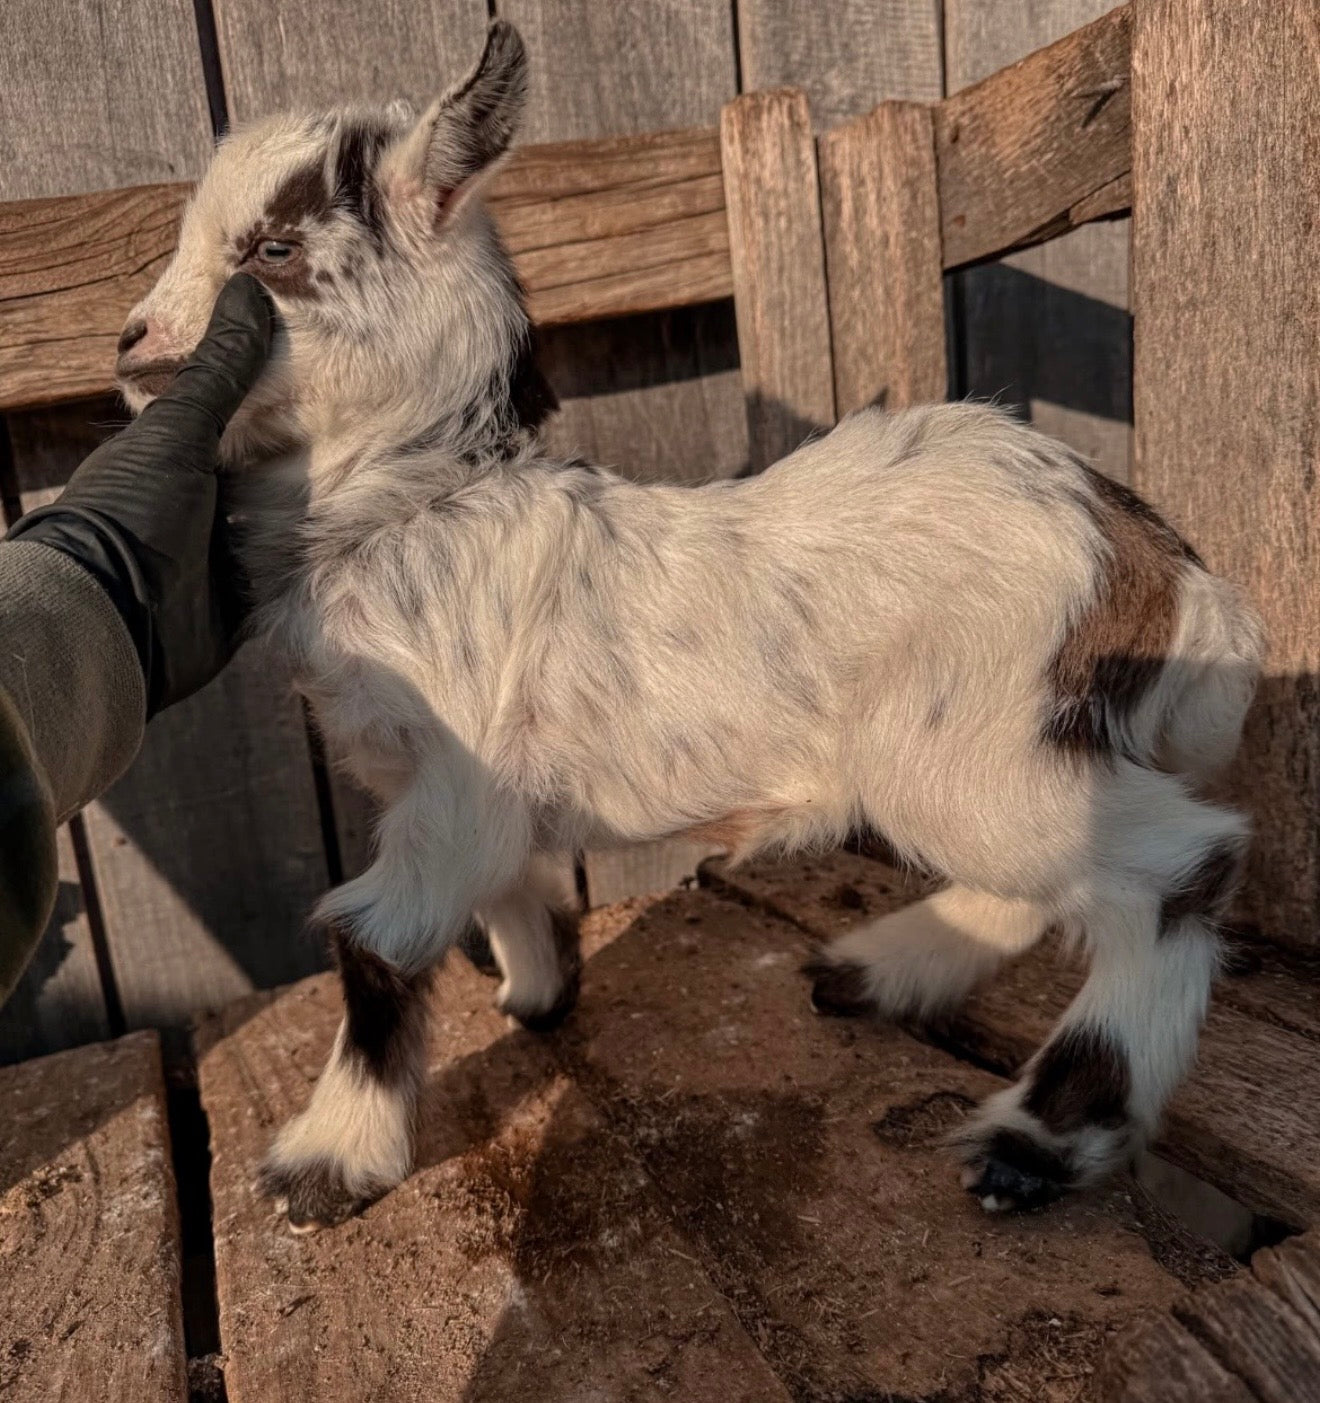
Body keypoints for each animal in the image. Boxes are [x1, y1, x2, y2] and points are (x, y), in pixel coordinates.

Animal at [116, 21, 1264, 1230]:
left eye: (274, 250)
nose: (132, 344)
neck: (420, 503)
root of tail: (1169, 570)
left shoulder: (453, 781)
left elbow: (374, 937)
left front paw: (327, 1160)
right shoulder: (437, 780)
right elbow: (506, 888)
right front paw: (536, 996)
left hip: (973, 747)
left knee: (1183, 864)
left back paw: (1033, 1141)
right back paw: (884, 969)